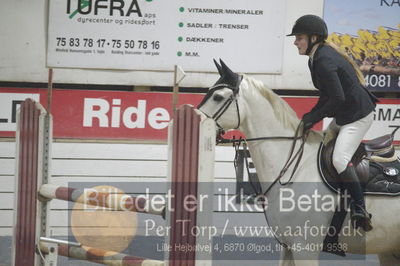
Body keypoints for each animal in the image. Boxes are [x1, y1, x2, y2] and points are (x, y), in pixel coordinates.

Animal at [197, 60, 400, 266]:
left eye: (217, 97)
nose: (198, 119)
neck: (294, 168)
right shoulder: (288, 246)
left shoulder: (305, 248)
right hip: (389, 251)